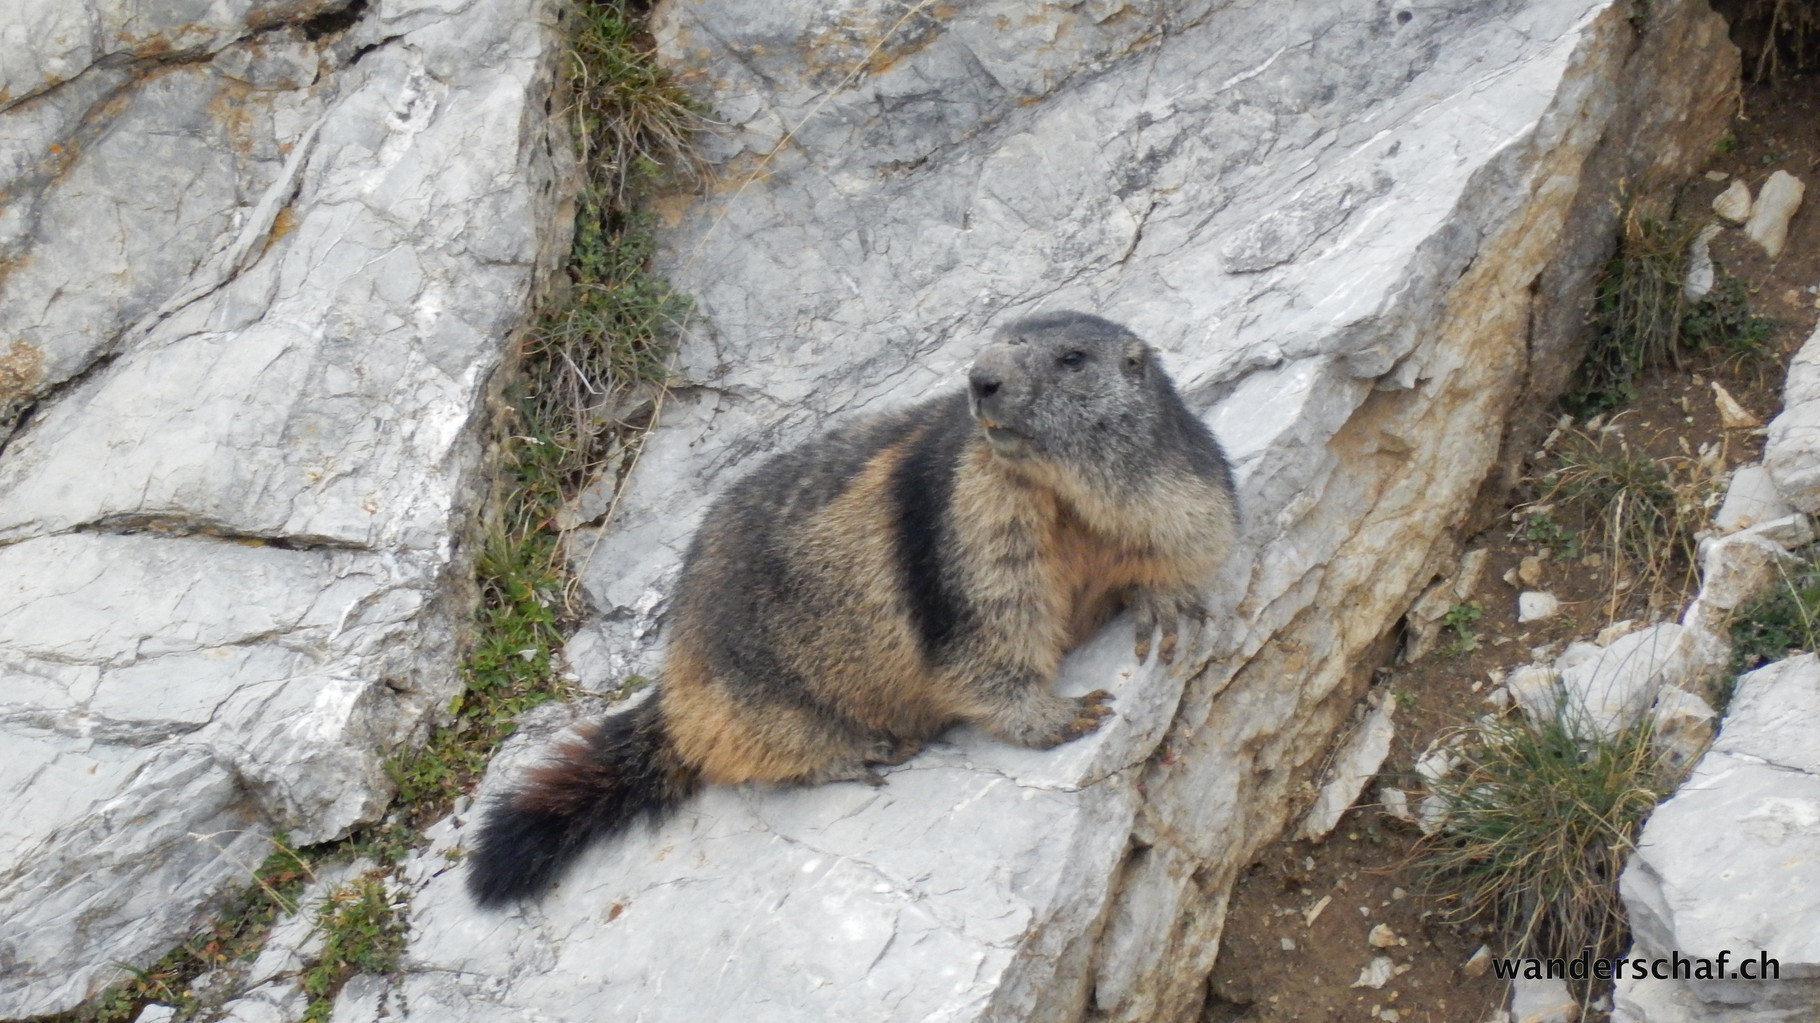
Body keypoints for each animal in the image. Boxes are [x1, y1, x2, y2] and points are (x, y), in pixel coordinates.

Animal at [465, 311, 1238, 906]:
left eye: (1072, 357)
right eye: (993, 341)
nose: (979, 378)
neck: (1060, 492)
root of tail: (674, 679)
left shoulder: (1167, 478)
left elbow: (1190, 529)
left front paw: (1166, 602)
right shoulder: (971, 518)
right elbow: (987, 631)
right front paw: (1063, 713)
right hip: (749, 694)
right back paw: (850, 750)